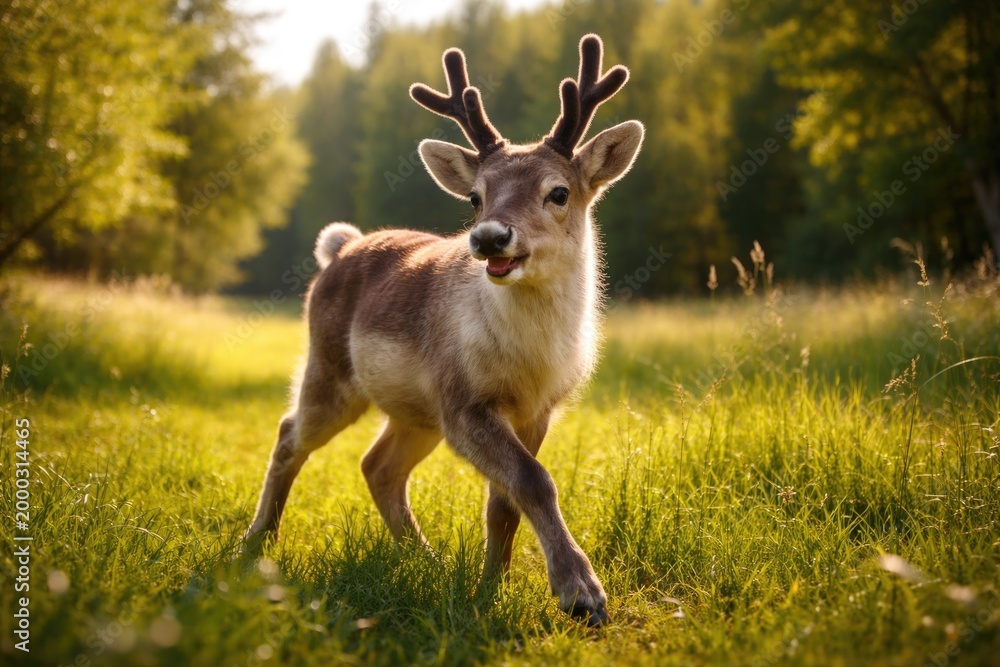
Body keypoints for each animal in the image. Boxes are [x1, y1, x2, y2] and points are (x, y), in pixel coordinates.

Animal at [244, 34, 644, 627]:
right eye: (476, 196)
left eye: (558, 192)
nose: (489, 236)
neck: (530, 360)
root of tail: (341, 247)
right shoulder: (462, 400)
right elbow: (535, 481)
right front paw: (581, 593)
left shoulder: (539, 409)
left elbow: (505, 500)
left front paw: (489, 587)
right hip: (331, 368)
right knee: (290, 432)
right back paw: (255, 542)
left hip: (416, 412)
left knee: (377, 465)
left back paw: (423, 558)